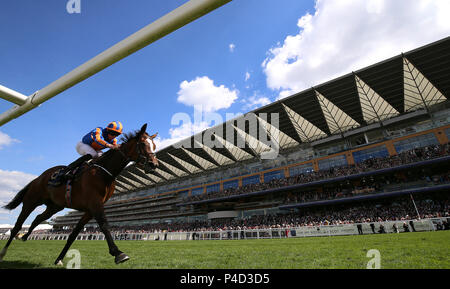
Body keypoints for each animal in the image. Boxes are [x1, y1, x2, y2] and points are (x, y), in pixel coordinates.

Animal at [0, 122, 158, 264]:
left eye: (154, 146)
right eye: (143, 144)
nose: (154, 164)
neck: (104, 172)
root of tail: (39, 178)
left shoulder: (89, 209)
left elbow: (74, 234)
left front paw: (59, 259)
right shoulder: (94, 204)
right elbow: (104, 225)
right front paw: (118, 253)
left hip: (54, 206)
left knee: (38, 218)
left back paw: (25, 236)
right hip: (31, 201)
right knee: (17, 226)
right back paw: (5, 251)